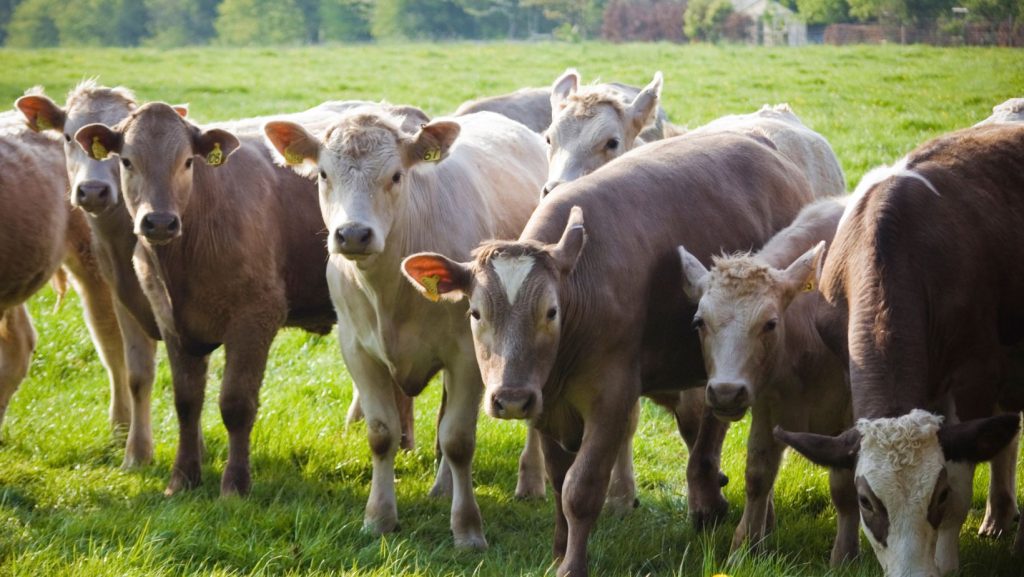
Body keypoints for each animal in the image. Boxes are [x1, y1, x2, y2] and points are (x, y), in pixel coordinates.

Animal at [75, 100, 339, 496]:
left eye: (187, 161)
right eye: (127, 161)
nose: (159, 222)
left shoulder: (256, 317)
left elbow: (236, 403)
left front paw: (235, 486)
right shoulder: (172, 324)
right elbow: (186, 402)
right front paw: (182, 479)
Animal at [266, 106, 552, 549]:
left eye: (396, 175)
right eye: (324, 174)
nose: (353, 234)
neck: (390, 289)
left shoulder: (467, 355)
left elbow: (459, 439)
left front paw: (467, 529)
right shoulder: (357, 351)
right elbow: (384, 433)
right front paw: (379, 517)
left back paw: (531, 481)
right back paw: (442, 487)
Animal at [401, 132, 815, 577]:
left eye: (551, 312)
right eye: (476, 313)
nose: (510, 398)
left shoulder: (611, 398)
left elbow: (580, 489)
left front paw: (572, 565)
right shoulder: (547, 403)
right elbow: (558, 478)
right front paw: (558, 552)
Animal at [679, 198, 864, 565]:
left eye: (770, 323)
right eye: (699, 322)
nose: (725, 392)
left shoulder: (853, 411)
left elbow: (844, 486)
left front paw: (845, 556)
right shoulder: (766, 407)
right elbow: (757, 475)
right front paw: (743, 549)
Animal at [774, 122, 1024, 577]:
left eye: (936, 495)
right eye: (868, 501)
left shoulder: (976, 374)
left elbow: (962, 482)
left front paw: (945, 563)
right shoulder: (846, 365)